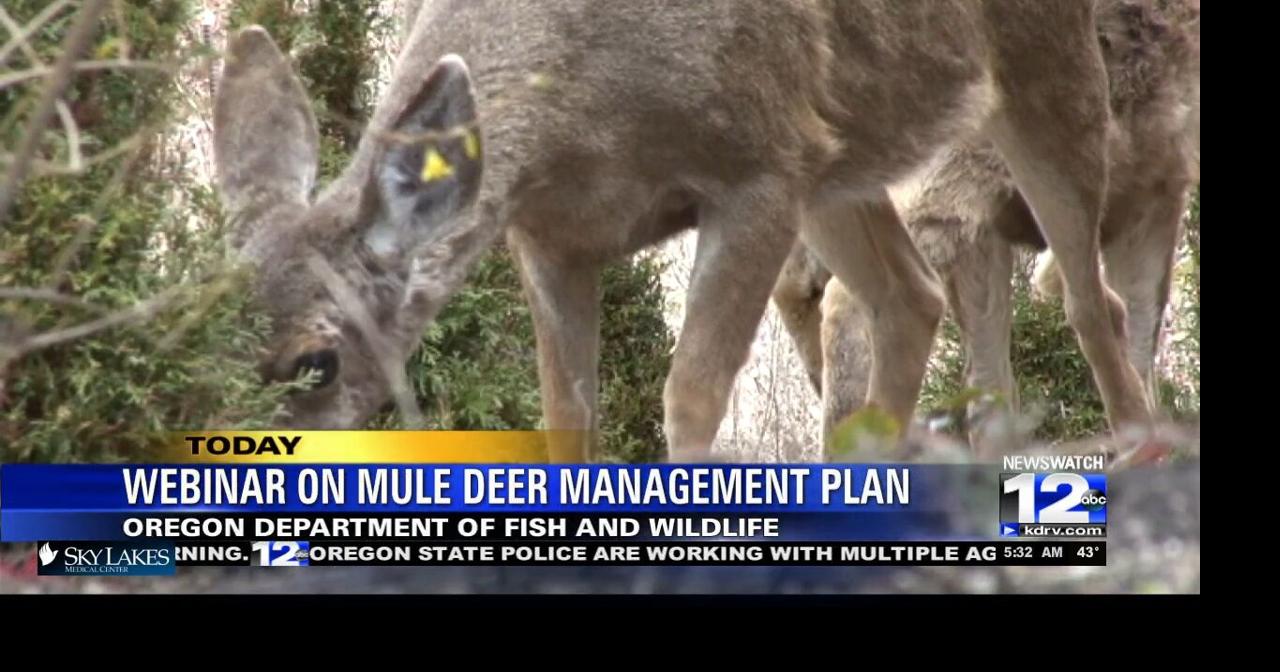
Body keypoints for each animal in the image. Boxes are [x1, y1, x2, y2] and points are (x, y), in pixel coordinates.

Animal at [214, 0, 1155, 464]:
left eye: (315, 360)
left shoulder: (758, 169)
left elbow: (690, 395)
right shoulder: (546, 234)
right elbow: (568, 415)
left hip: (1040, 69)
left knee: (1093, 297)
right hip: (841, 152)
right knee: (909, 296)